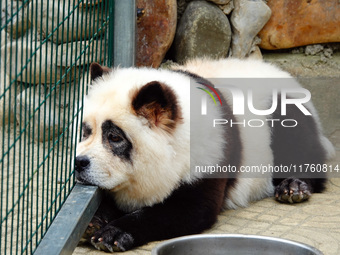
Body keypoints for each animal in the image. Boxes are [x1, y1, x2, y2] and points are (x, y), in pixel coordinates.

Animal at [75, 58, 334, 252]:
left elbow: (191, 210)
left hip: (279, 109)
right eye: (86, 131)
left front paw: (113, 233)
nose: (79, 163)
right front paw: (94, 221)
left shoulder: (209, 156)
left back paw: (294, 186)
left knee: (299, 143)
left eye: (115, 137)